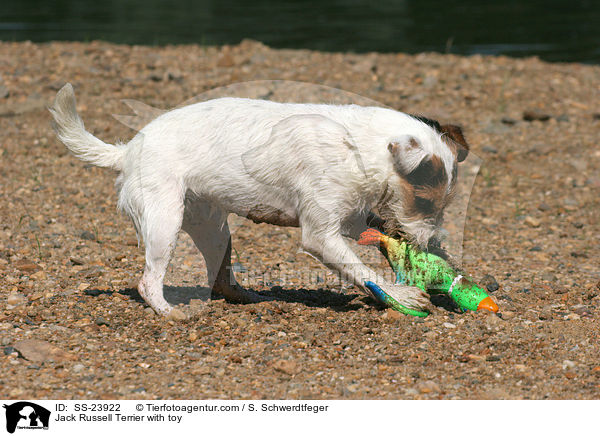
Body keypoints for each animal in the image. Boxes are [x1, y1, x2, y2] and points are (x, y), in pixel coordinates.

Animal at [49, 83, 466, 316]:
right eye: (424, 203)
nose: (433, 246)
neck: (358, 148)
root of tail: (127, 149)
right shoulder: (320, 235)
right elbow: (362, 271)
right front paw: (400, 295)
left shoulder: (349, 219)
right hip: (164, 224)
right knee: (148, 282)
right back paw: (167, 311)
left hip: (213, 228)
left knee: (221, 279)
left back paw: (249, 298)